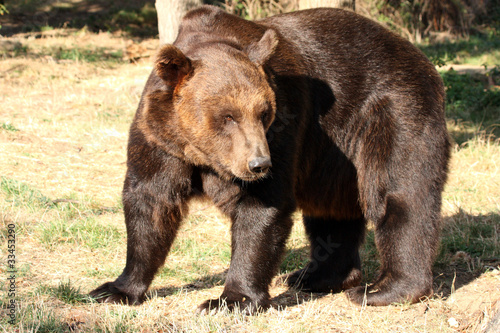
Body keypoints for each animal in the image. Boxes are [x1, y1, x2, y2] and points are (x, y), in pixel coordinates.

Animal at [89, 4, 450, 312]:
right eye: (227, 116)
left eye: (263, 113)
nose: (259, 164)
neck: (202, 156)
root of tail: (415, 53)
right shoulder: (160, 139)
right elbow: (150, 203)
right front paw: (114, 289)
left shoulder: (285, 128)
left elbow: (261, 208)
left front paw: (229, 300)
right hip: (331, 162)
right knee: (331, 212)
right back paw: (316, 277)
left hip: (391, 111)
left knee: (400, 194)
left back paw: (384, 289)